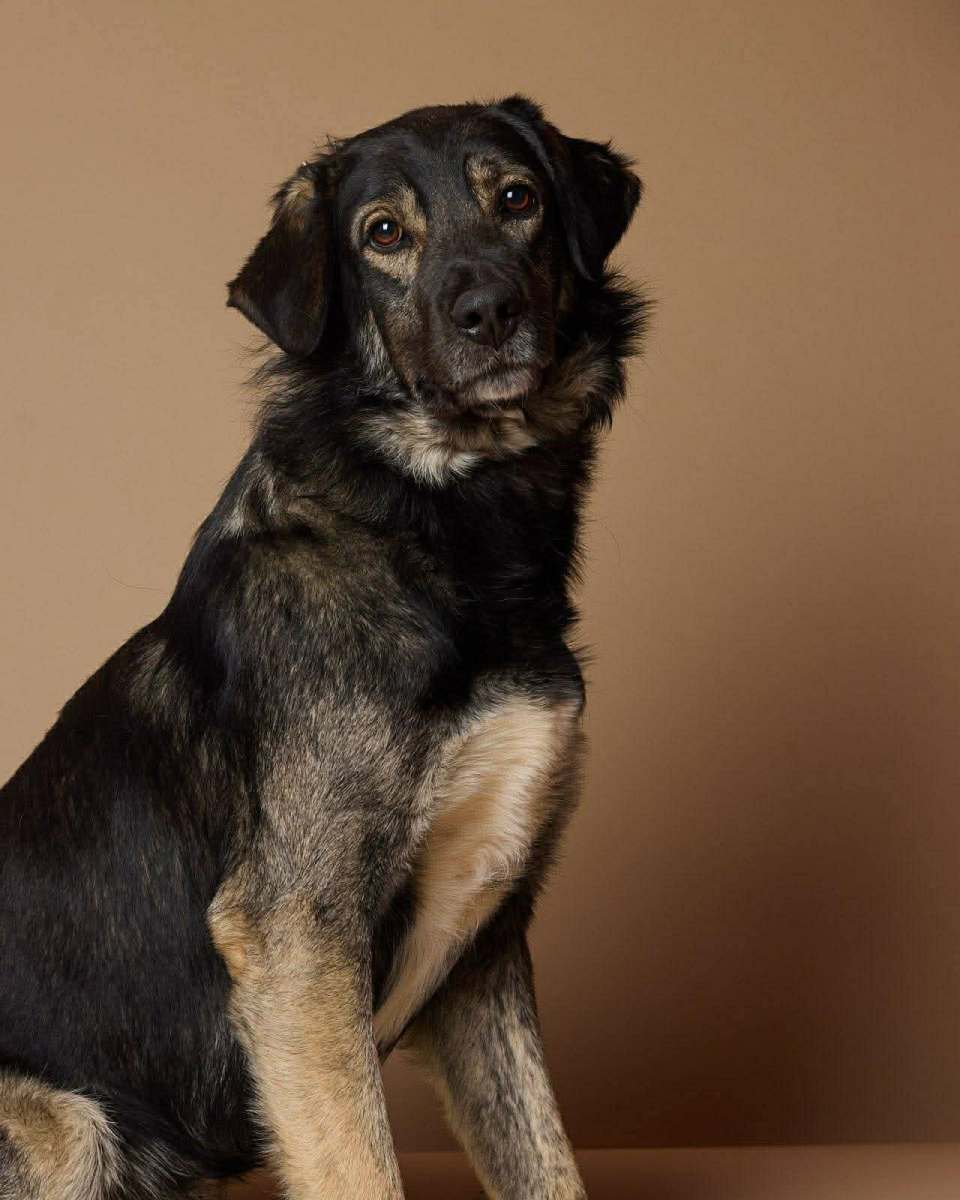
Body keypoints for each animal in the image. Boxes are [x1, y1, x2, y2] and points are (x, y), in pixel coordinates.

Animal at [0, 96, 645, 1198]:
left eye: (517, 199)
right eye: (382, 233)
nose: (489, 312)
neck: (433, 521)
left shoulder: (484, 948)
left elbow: (546, 1162)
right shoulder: (300, 936)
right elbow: (362, 1167)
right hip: (63, 1125)